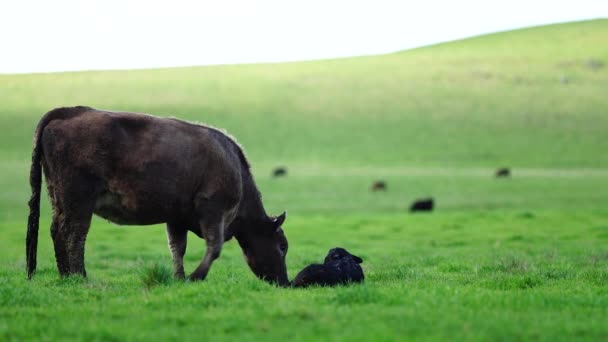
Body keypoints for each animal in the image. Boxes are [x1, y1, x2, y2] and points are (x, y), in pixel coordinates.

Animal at [29, 107, 292, 286]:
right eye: (282, 246)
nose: (284, 281)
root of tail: (71, 112)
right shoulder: (214, 209)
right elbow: (214, 246)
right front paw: (196, 276)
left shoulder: (176, 217)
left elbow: (177, 248)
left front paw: (179, 278)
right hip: (79, 199)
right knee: (74, 234)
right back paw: (80, 276)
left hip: (58, 197)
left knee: (56, 230)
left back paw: (65, 276)